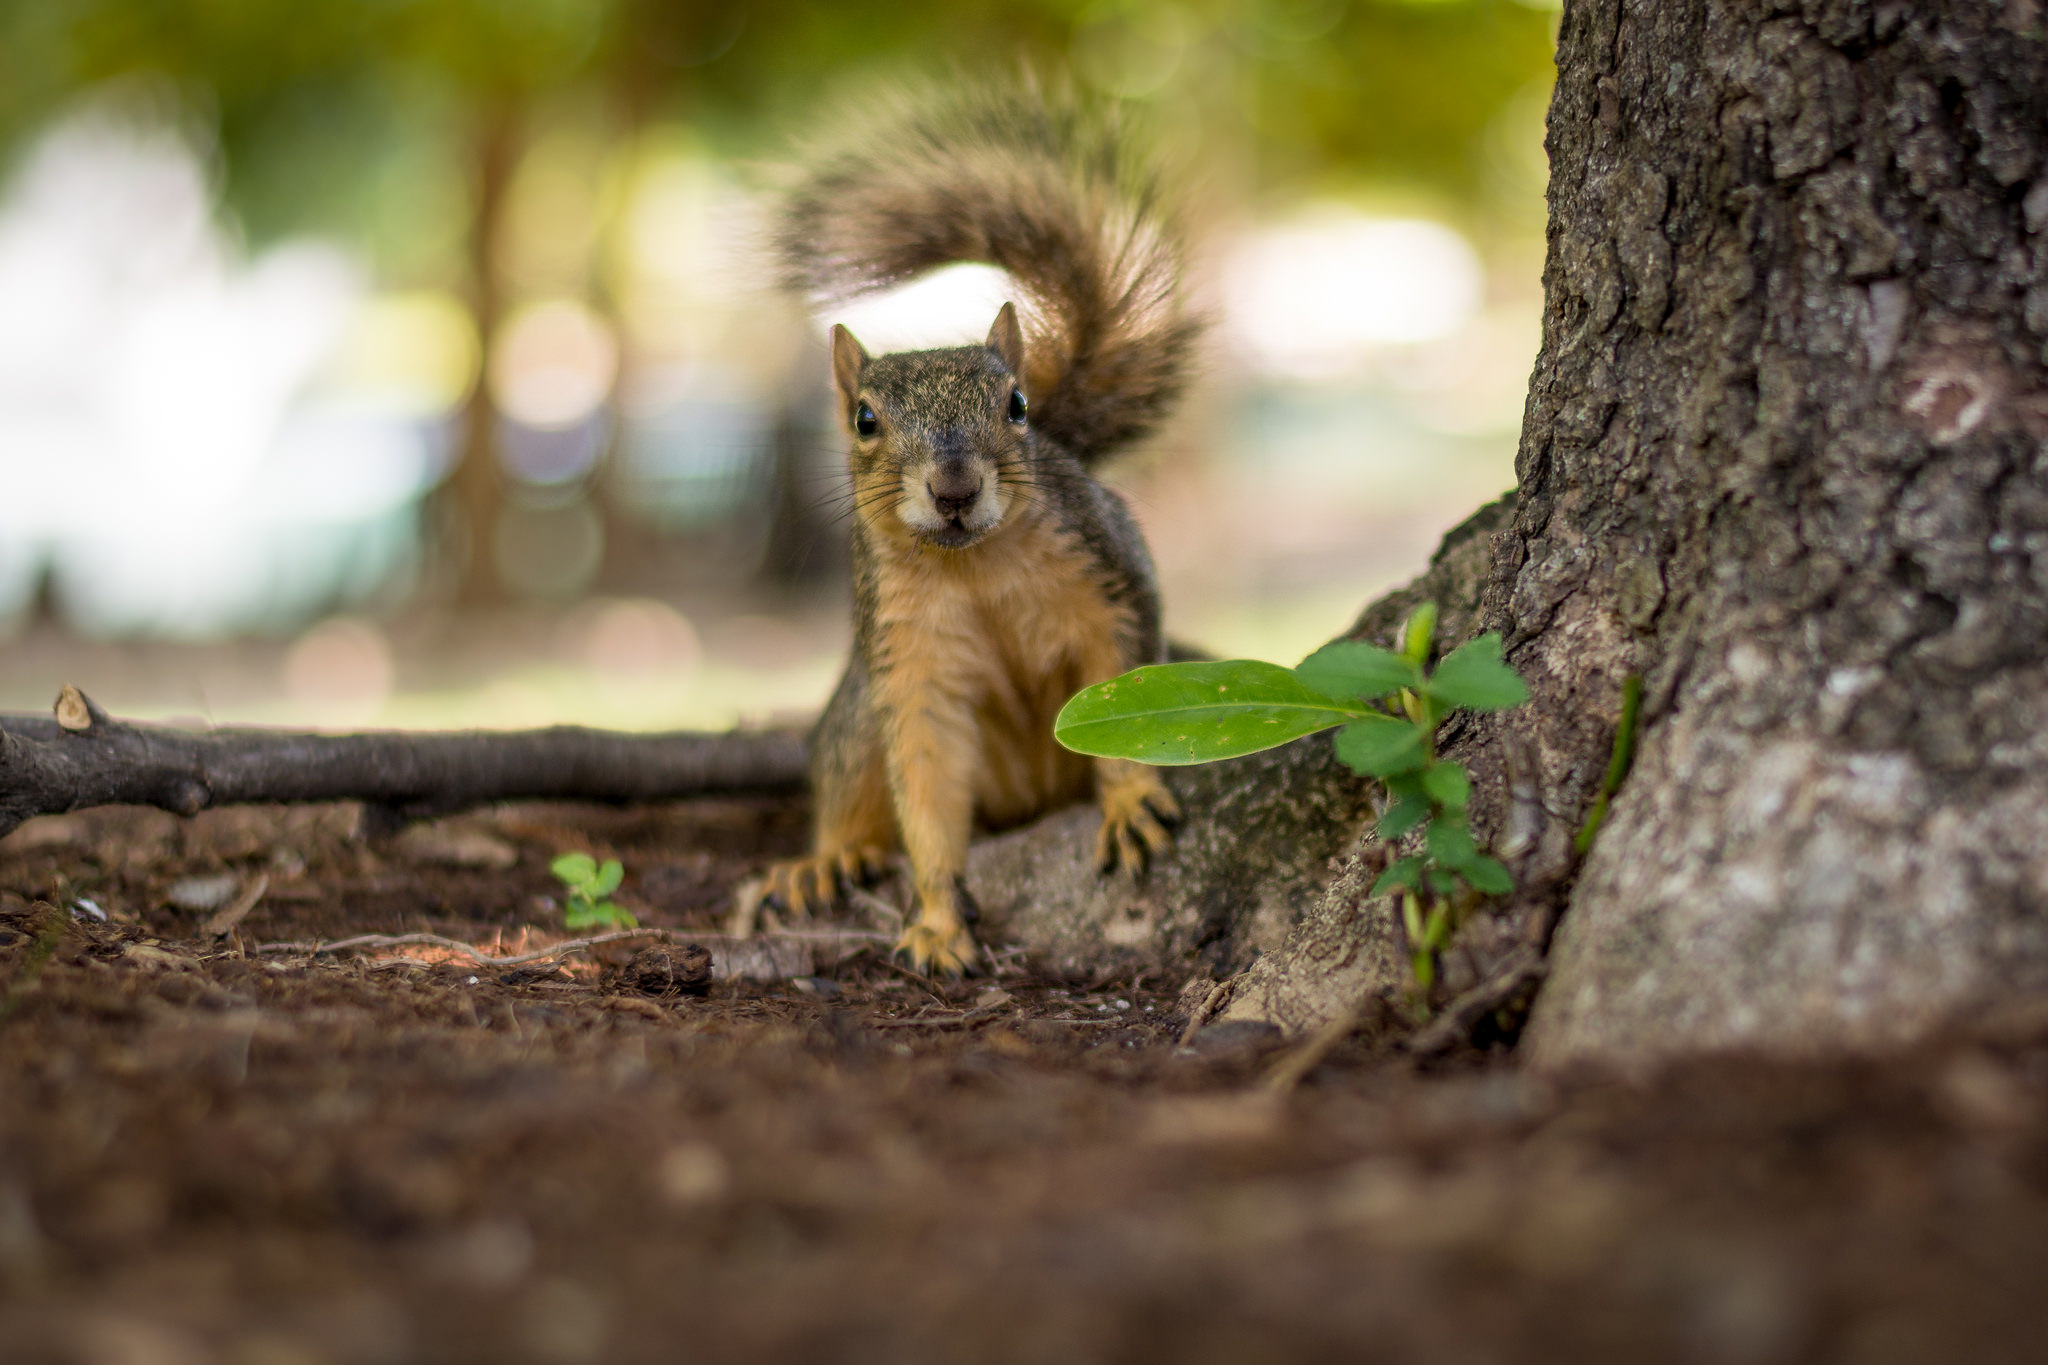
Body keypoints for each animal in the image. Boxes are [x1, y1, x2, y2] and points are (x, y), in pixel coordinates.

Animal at [749, 87, 1196, 982]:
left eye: (1017, 405)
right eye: (864, 420)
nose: (954, 487)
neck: (973, 566)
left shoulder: (1108, 576)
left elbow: (1124, 685)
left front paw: (1131, 799)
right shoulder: (910, 656)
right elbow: (925, 780)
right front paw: (936, 917)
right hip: (860, 711)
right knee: (851, 776)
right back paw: (830, 858)